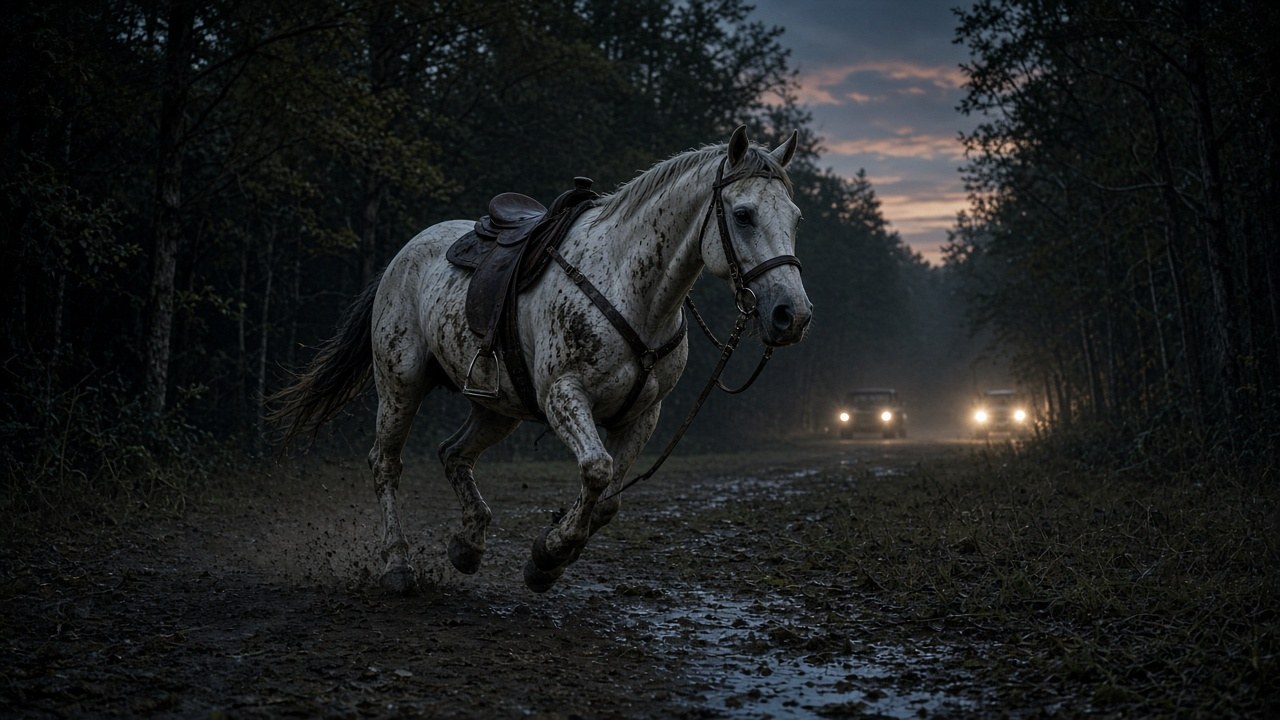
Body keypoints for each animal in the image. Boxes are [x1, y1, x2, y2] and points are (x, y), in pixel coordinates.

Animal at [269, 126, 812, 593]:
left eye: (795, 218)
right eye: (743, 214)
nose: (792, 314)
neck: (629, 285)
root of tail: (403, 255)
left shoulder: (643, 413)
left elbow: (608, 500)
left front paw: (551, 555)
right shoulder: (563, 395)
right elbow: (596, 470)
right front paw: (548, 554)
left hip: (497, 407)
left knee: (453, 454)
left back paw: (468, 545)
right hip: (400, 384)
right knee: (385, 463)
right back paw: (398, 565)